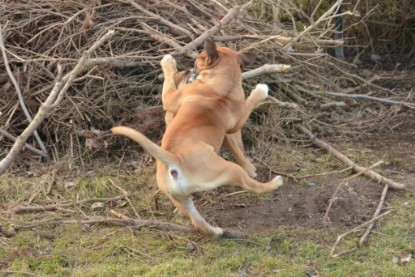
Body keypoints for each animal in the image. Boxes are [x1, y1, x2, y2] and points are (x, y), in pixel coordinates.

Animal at [112, 41, 284, 237]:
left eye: (199, 59)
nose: (190, 68)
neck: (224, 81)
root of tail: (175, 160)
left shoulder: (172, 99)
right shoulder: (235, 123)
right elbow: (247, 109)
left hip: (198, 189)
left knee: (205, 217)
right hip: (210, 182)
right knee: (239, 194)